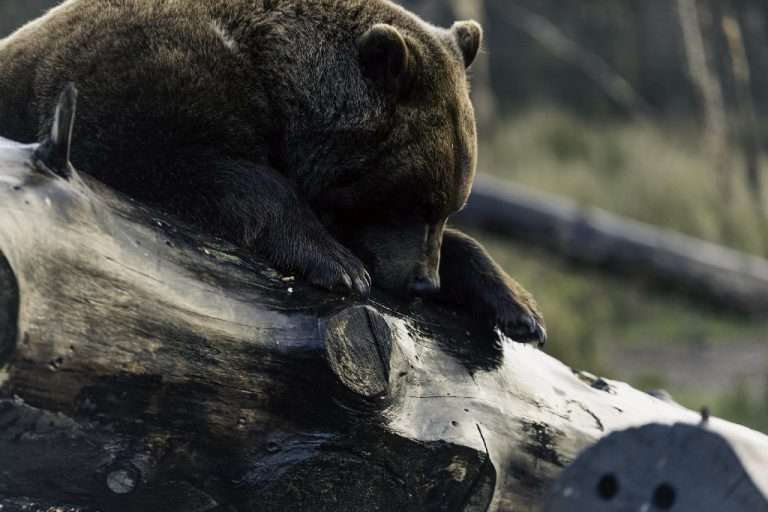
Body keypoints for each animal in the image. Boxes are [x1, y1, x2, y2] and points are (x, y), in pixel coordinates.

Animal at [0, 0, 545, 344]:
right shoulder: (136, 92)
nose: (424, 284)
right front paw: (339, 265)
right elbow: (207, 171)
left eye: (451, 205)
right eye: (414, 198)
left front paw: (520, 309)